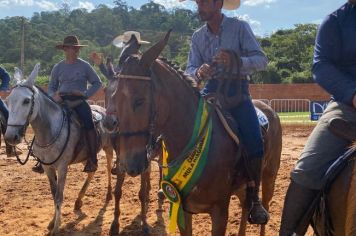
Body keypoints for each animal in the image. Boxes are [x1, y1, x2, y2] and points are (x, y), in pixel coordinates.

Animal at [3, 63, 114, 235]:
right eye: (7, 101)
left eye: (26, 101)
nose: (10, 137)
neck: (50, 131)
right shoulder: (47, 167)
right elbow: (53, 193)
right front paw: (52, 222)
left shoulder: (62, 167)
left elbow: (59, 196)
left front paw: (56, 228)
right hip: (87, 157)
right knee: (91, 171)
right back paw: (78, 201)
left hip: (108, 149)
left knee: (108, 168)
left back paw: (108, 195)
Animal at [103, 30, 280, 235]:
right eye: (112, 96)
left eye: (139, 100)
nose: (128, 163)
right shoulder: (182, 206)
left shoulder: (220, 210)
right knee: (245, 207)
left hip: (269, 177)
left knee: (262, 206)